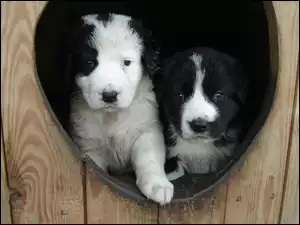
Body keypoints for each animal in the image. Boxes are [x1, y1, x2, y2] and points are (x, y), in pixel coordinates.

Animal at [66, 13, 172, 204]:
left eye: (127, 63)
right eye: (89, 63)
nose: (109, 95)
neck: (112, 116)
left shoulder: (147, 129)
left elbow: (149, 157)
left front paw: (158, 185)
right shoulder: (89, 145)